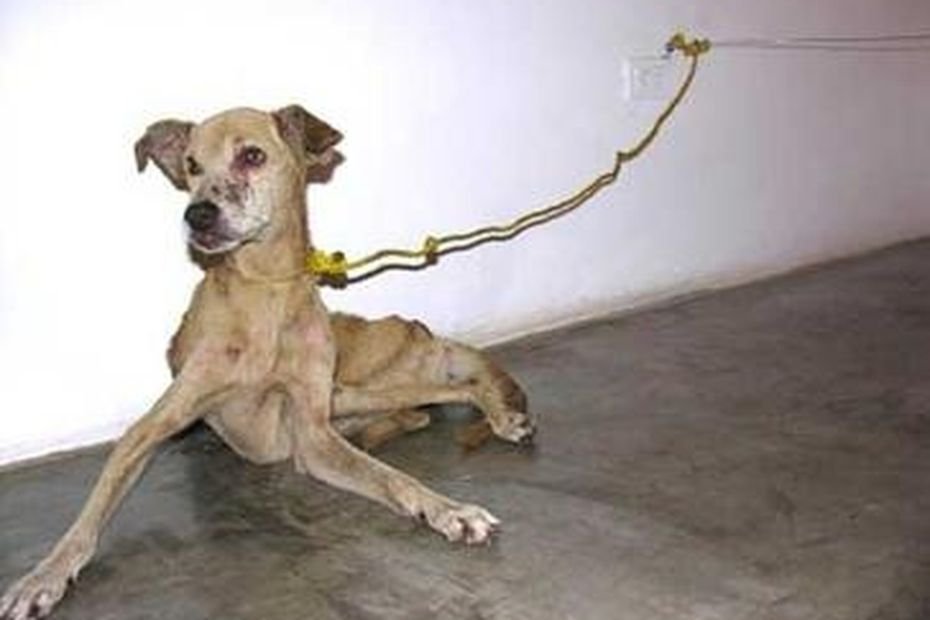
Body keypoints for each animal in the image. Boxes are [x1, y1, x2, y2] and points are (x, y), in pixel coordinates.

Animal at [0, 105, 534, 620]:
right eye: (192, 165)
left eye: (252, 156)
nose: (197, 215)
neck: (266, 290)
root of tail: (411, 325)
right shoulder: (152, 428)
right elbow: (87, 518)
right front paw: (42, 577)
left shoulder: (315, 434)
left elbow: (394, 478)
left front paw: (451, 512)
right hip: (347, 397)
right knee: (425, 406)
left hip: (347, 389)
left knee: (454, 387)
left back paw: (501, 415)